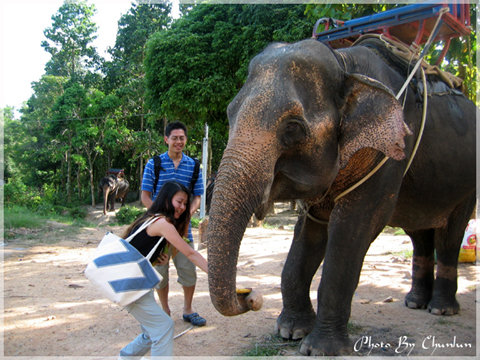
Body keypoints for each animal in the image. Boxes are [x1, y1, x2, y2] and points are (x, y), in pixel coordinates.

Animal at [206, 38, 476, 354]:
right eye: (229, 113)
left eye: (293, 127)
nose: (248, 297)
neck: (344, 64)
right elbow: (309, 231)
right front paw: (292, 332)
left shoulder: (390, 152)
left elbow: (353, 227)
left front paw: (320, 349)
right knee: (419, 234)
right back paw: (415, 302)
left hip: (468, 184)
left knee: (449, 236)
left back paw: (441, 309)